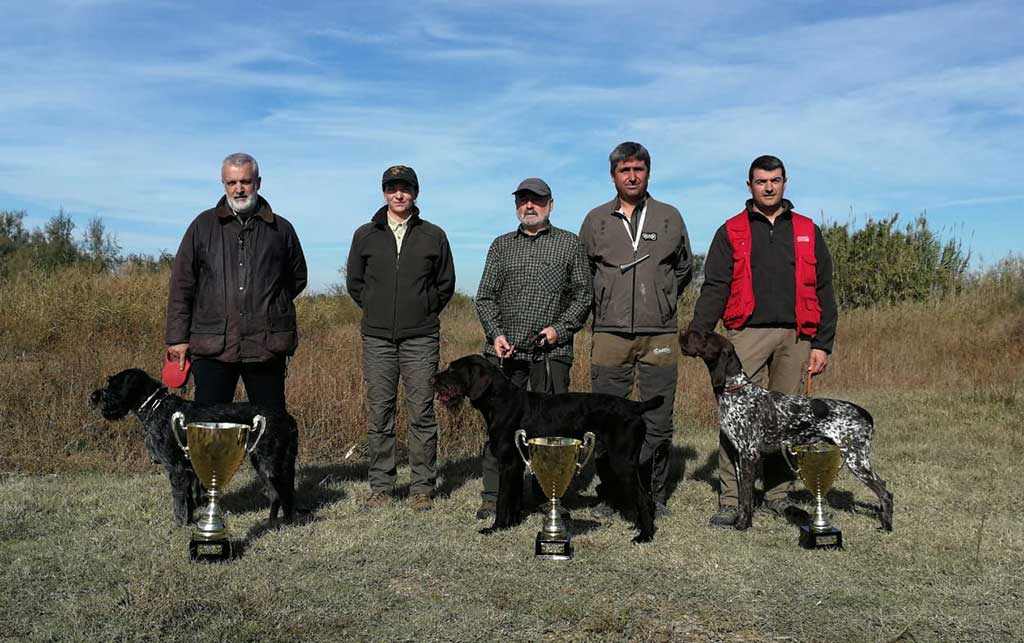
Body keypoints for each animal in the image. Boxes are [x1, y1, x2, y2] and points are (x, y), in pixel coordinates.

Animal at [89, 366, 299, 528]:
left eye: (113, 385)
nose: (95, 397)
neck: (156, 408)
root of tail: (288, 418)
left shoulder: (176, 469)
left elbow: (179, 501)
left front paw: (179, 525)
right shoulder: (188, 471)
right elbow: (188, 501)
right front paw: (188, 522)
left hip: (268, 463)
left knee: (280, 494)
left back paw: (277, 523)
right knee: (281, 494)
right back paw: (278, 522)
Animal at [430, 354, 655, 544]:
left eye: (452, 369)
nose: (432, 378)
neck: (501, 401)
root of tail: (634, 406)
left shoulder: (508, 462)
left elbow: (503, 499)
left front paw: (496, 527)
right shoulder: (518, 463)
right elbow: (514, 497)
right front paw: (512, 523)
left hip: (622, 462)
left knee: (644, 499)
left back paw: (644, 535)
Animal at [684, 329, 892, 528]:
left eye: (705, 337)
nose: (683, 333)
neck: (737, 390)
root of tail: (865, 413)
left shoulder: (749, 455)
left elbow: (747, 498)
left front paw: (744, 525)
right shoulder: (738, 456)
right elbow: (743, 496)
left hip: (856, 459)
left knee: (885, 492)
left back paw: (887, 525)